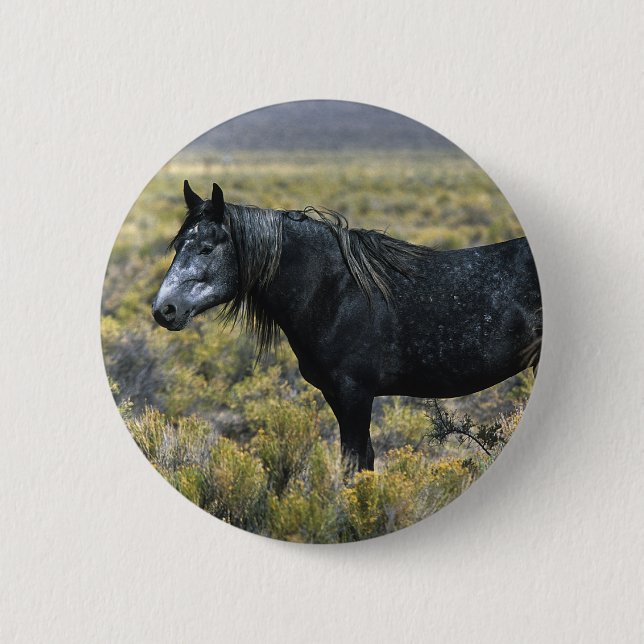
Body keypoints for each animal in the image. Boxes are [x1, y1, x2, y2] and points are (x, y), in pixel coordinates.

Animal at [152, 180, 542, 471]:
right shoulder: (336, 395)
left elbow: (354, 465)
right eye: (177, 245)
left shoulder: (356, 394)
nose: (163, 310)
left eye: (206, 248)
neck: (335, 290)